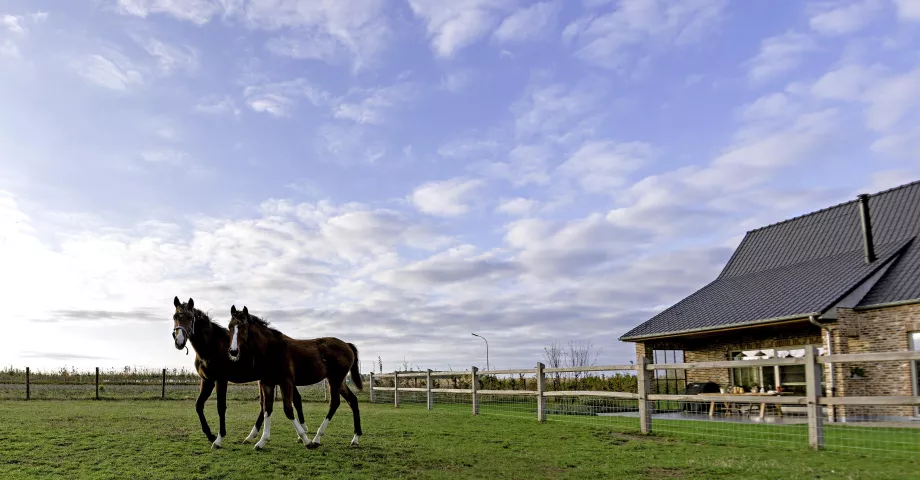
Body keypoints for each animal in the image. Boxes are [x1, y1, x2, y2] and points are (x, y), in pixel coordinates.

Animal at [171, 296, 309, 448]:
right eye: (175, 317)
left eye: (190, 317)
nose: (179, 342)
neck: (212, 345)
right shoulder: (207, 381)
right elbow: (198, 406)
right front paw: (210, 435)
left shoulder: (220, 380)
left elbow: (221, 407)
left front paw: (219, 439)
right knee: (265, 406)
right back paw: (251, 436)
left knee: (294, 400)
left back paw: (301, 433)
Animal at [226, 305, 363, 450]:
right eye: (230, 326)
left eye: (243, 327)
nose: (233, 351)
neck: (271, 349)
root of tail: (347, 345)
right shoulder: (267, 383)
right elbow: (267, 409)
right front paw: (262, 441)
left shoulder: (285, 382)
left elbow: (288, 409)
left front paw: (305, 440)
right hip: (340, 381)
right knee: (352, 400)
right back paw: (355, 438)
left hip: (334, 379)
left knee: (335, 403)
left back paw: (317, 438)